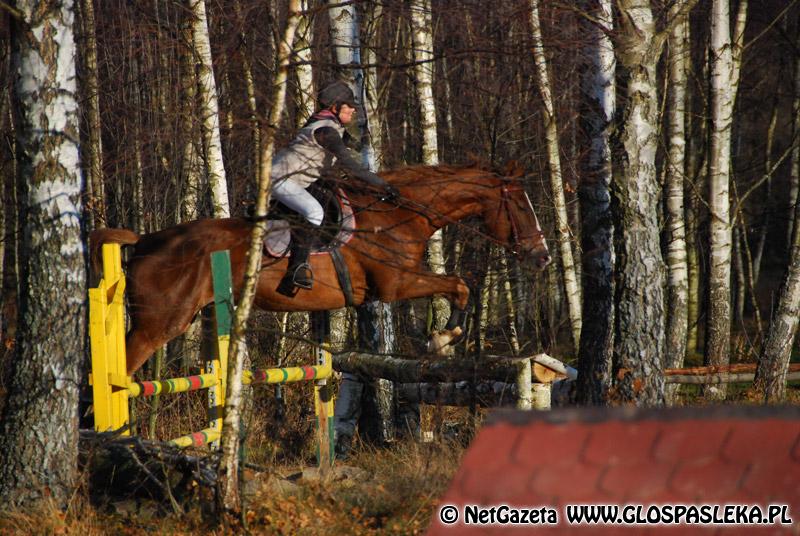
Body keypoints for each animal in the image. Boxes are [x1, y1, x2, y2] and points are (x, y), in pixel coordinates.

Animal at [89, 161, 552, 374]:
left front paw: (443, 337)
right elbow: (458, 284)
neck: (398, 215)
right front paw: (442, 339)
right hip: (160, 323)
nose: (543, 256)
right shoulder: (397, 284)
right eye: (520, 207)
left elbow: (459, 286)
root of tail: (145, 241)